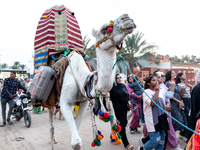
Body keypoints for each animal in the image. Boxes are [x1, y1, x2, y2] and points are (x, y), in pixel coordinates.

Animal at [47, 13, 137, 149]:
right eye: (105, 28)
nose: (126, 18)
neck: (83, 80)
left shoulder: (84, 101)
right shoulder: (65, 103)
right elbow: (76, 143)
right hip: (51, 100)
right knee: (51, 122)